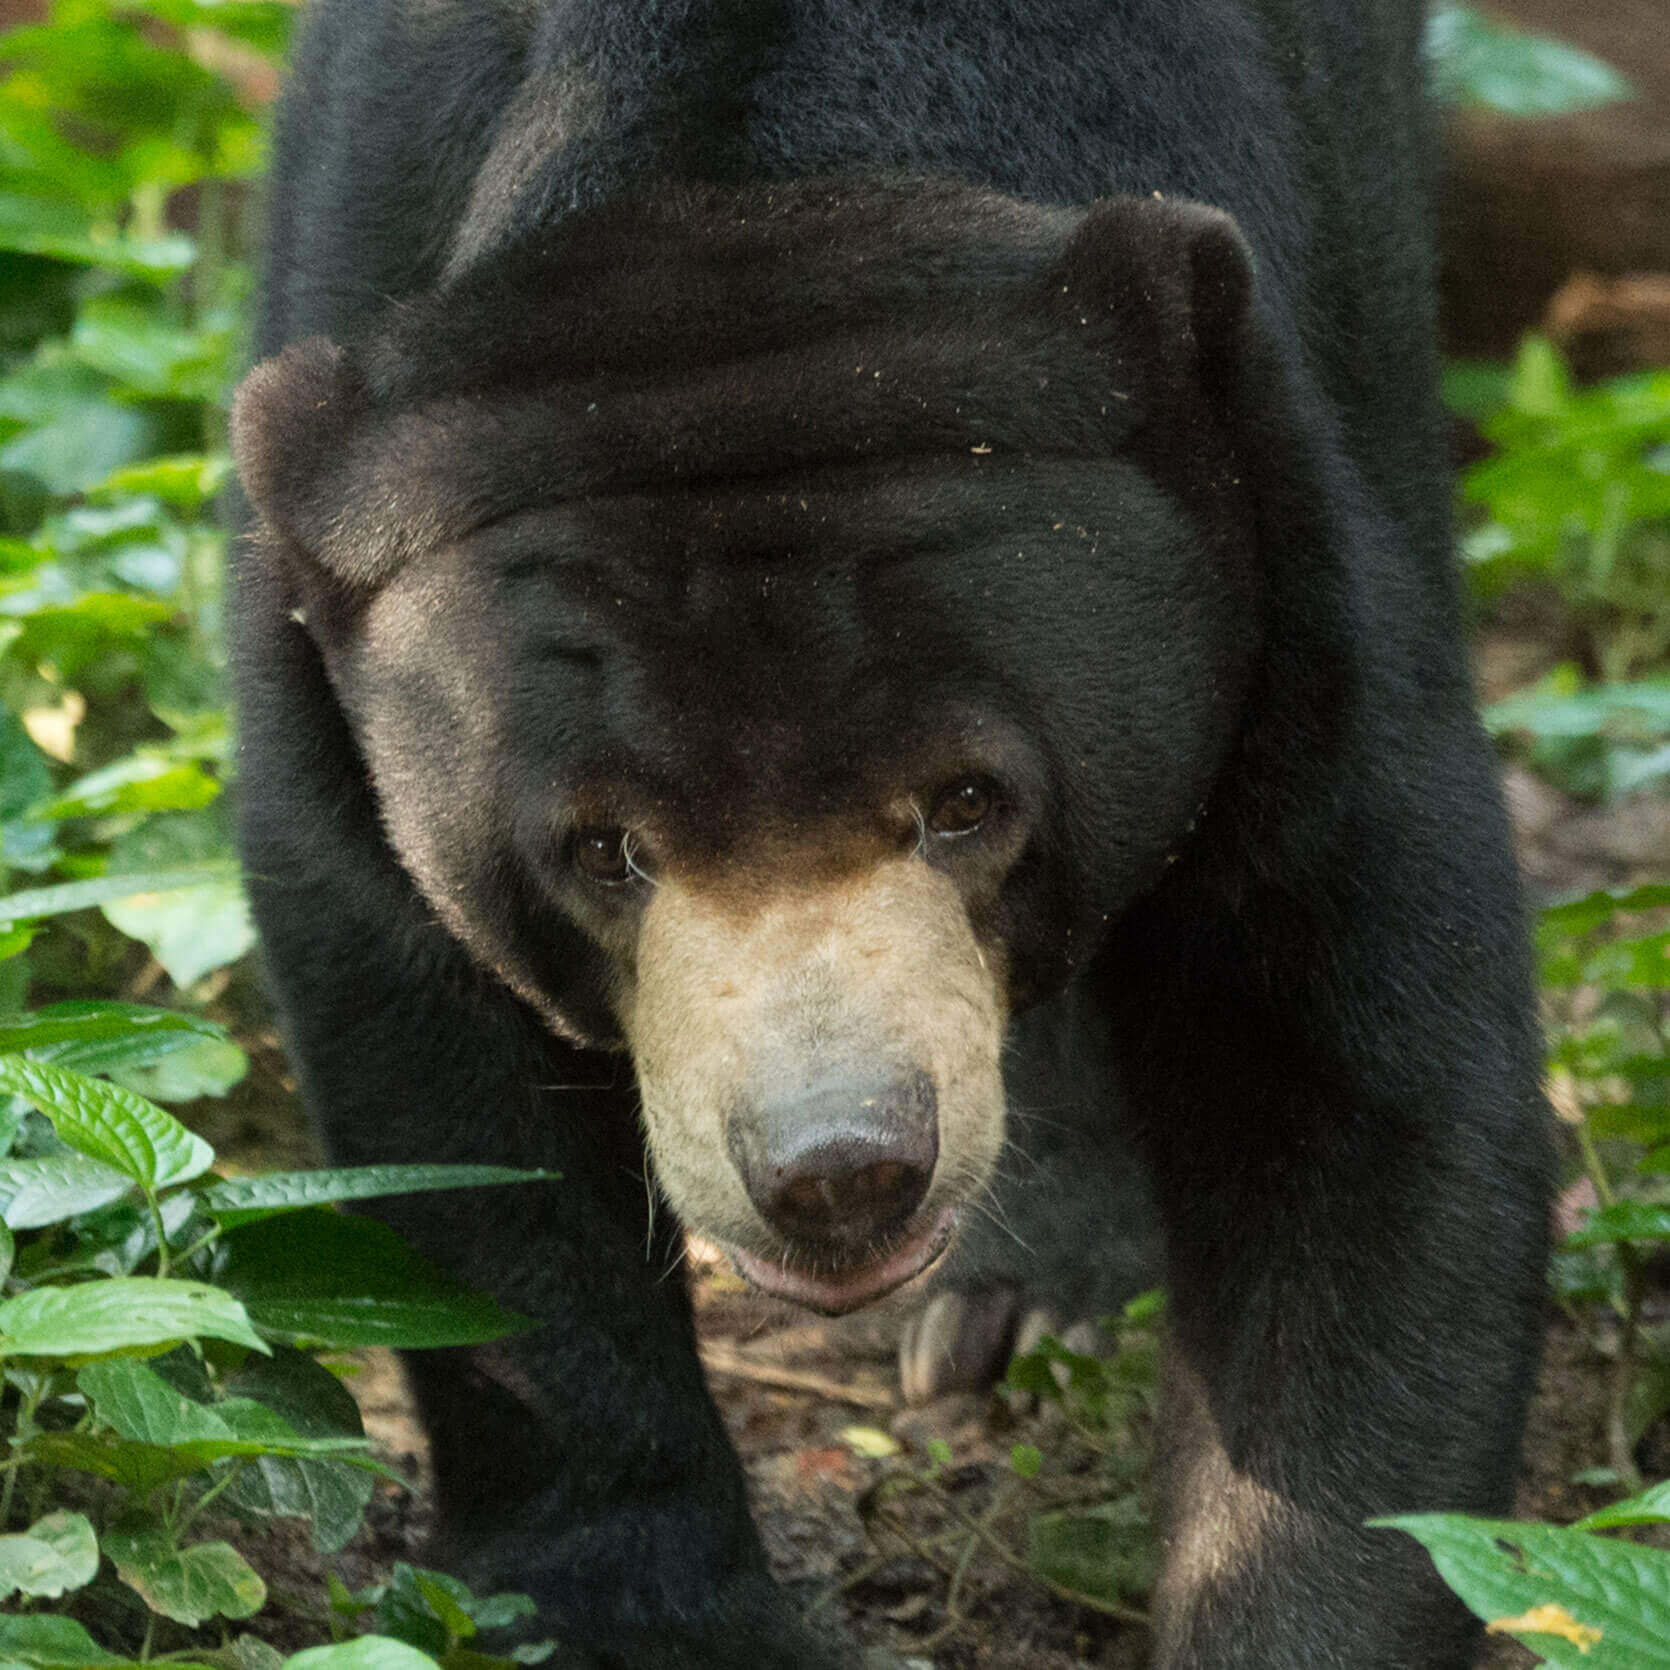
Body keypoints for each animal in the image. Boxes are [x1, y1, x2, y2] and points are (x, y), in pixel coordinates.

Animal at [228, 1, 1554, 1666]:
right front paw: (651, 1611)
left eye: (968, 801)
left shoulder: (1282, 541)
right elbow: (457, 1105)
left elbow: (1347, 1070)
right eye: (604, 849)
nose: (840, 1171)